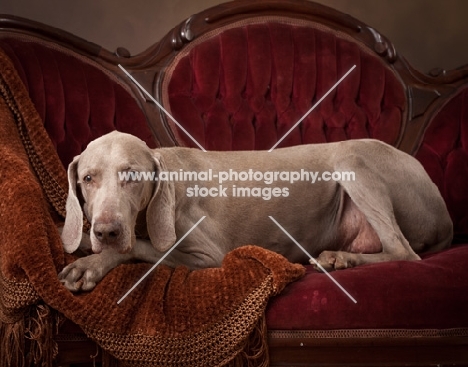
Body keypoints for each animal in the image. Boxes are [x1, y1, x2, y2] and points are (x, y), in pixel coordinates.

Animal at [58, 131, 450, 292]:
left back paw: (339, 257)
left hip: (351, 159)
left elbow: (140, 248)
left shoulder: (207, 257)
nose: (106, 231)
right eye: (88, 178)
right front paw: (88, 248)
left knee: (404, 251)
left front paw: (90, 264)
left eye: (132, 176)